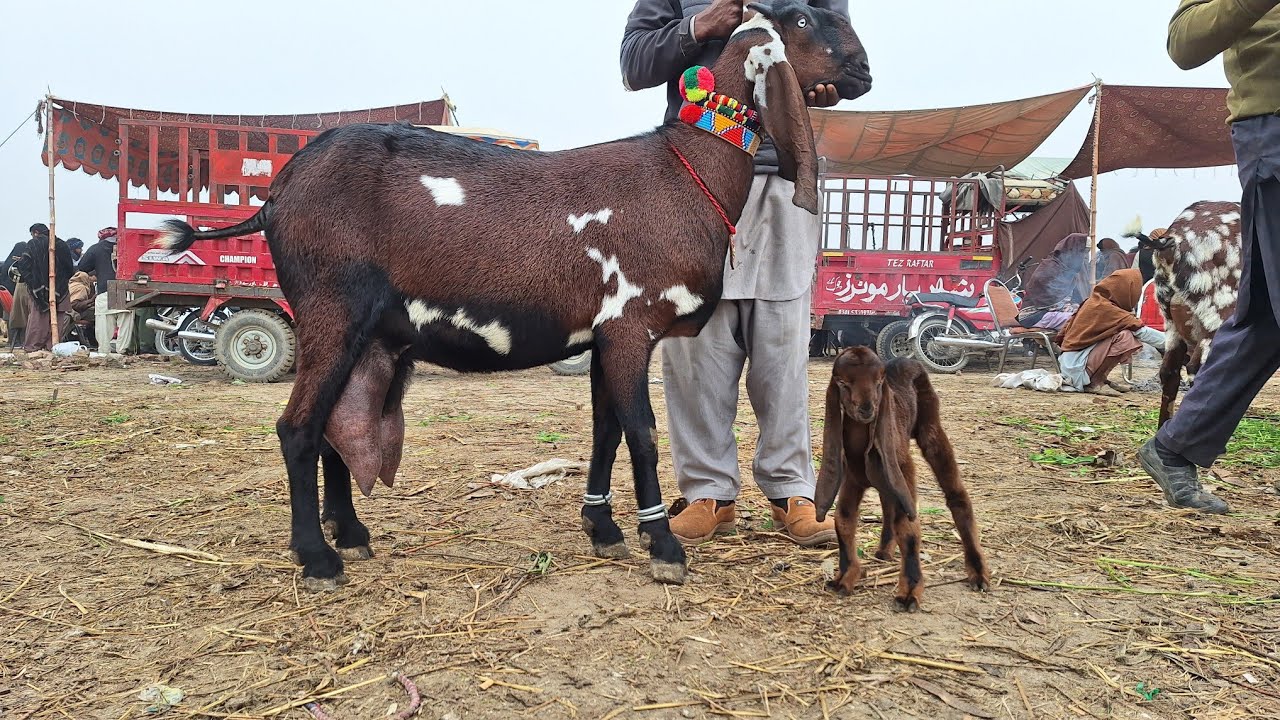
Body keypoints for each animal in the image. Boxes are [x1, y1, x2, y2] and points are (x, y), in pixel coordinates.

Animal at [152, 0, 871, 591]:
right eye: (801, 19)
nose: (862, 69)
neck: (683, 168)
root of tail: (277, 193)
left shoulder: (601, 333)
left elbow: (605, 429)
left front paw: (604, 530)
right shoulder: (631, 322)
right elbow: (641, 432)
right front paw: (663, 545)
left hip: (359, 329)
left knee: (335, 425)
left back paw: (352, 536)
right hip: (331, 308)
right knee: (298, 426)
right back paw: (318, 559)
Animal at [814, 346, 988, 611]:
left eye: (879, 383)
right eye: (842, 383)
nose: (867, 409)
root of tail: (907, 360)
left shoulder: (903, 470)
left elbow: (908, 528)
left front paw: (909, 593)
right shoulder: (852, 479)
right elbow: (843, 519)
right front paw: (845, 577)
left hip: (929, 429)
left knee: (955, 493)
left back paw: (978, 572)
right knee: (887, 503)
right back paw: (884, 551)